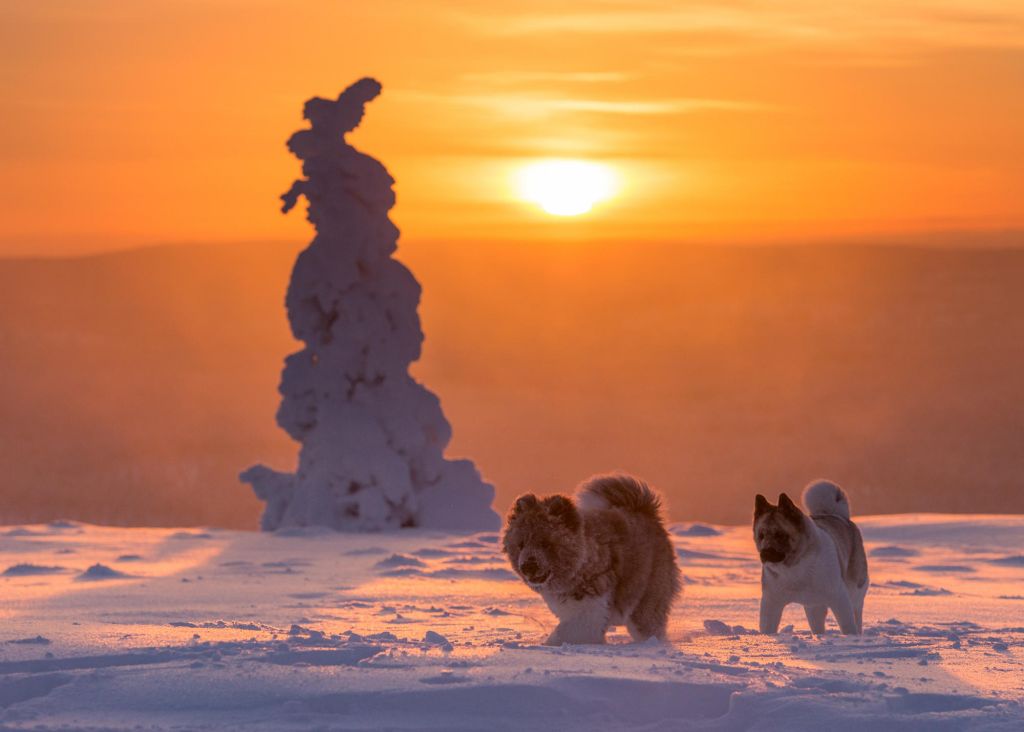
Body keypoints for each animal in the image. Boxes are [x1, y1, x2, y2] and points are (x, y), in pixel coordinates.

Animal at [749, 483, 868, 634]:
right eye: (761, 535)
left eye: (779, 535)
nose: (764, 553)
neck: (795, 566)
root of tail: (837, 515)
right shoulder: (772, 602)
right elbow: (767, 628)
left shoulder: (839, 596)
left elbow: (847, 625)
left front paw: (851, 638)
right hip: (814, 607)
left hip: (854, 591)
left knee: (856, 614)